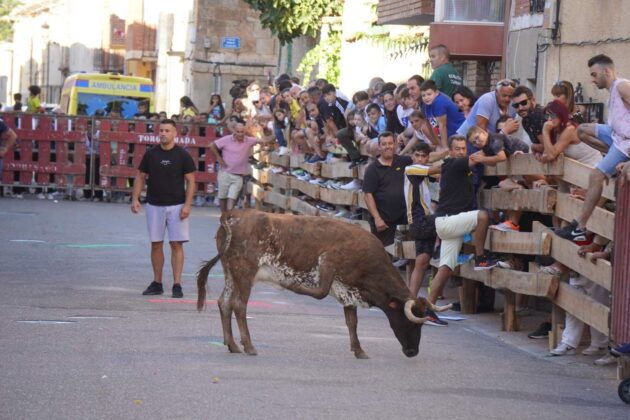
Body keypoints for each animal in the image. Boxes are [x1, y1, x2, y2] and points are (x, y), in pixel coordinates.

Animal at [198, 209, 450, 358]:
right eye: (414, 324)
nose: (413, 352)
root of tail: (234, 214)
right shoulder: (328, 264)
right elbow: (319, 292)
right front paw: (291, 285)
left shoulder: (347, 291)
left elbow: (352, 321)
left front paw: (358, 350)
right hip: (244, 273)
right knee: (239, 306)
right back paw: (249, 346)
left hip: (231, 273)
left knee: (224, 303)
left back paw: (232, 345)